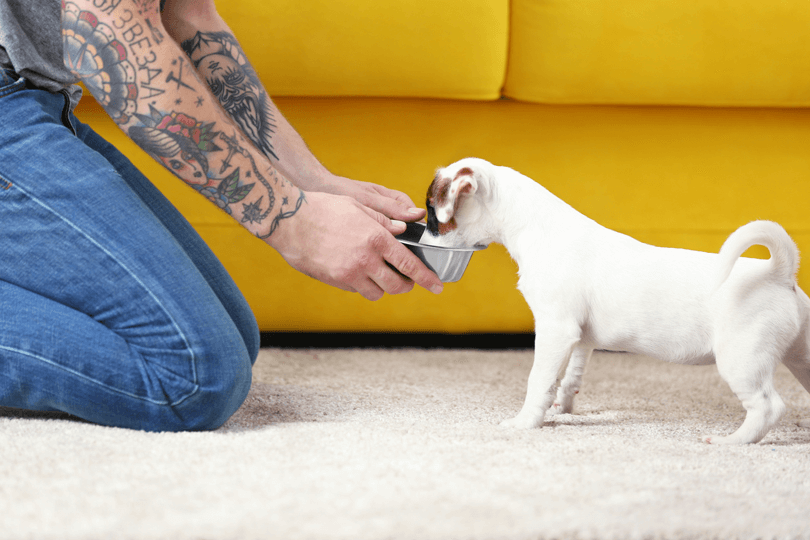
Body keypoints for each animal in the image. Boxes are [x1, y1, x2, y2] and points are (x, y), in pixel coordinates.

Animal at [422, 156, 808, 442]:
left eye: (432, 214)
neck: (537, 227)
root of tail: (779, 271)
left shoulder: (554, 330)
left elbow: (538, 380)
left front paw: (526, 422)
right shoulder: (580, 339)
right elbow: (570, 377)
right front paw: (562, 407)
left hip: (741, 361)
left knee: (767, 407)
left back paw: (734, 441)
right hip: (800, 354)